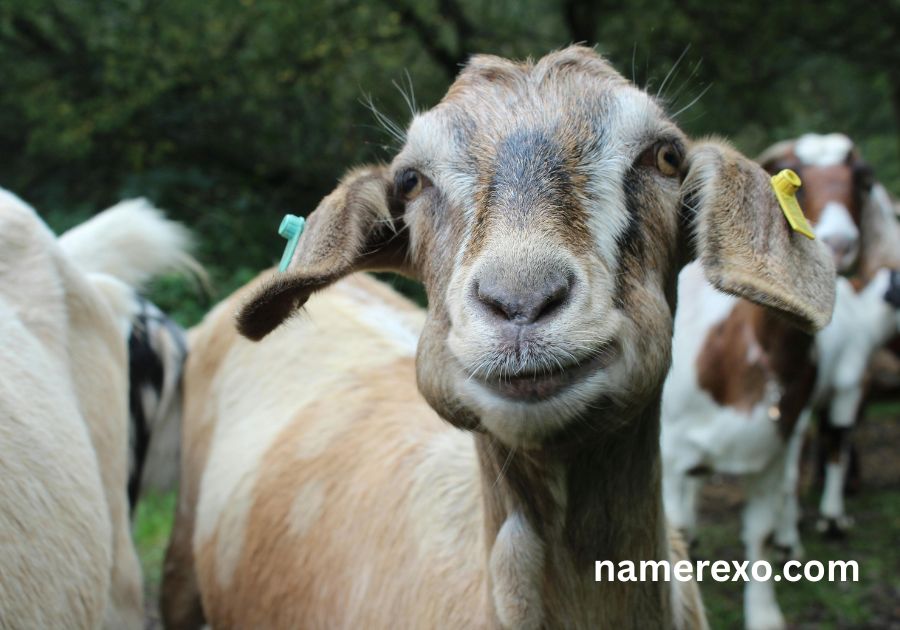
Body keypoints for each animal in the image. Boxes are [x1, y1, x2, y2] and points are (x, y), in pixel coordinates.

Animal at [661, 133, 898, 630]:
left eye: (863, 180)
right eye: (792, 176)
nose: (839, 244)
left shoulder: (770, 454)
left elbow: (762, 535)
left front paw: (765, 613)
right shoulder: (670, 457)